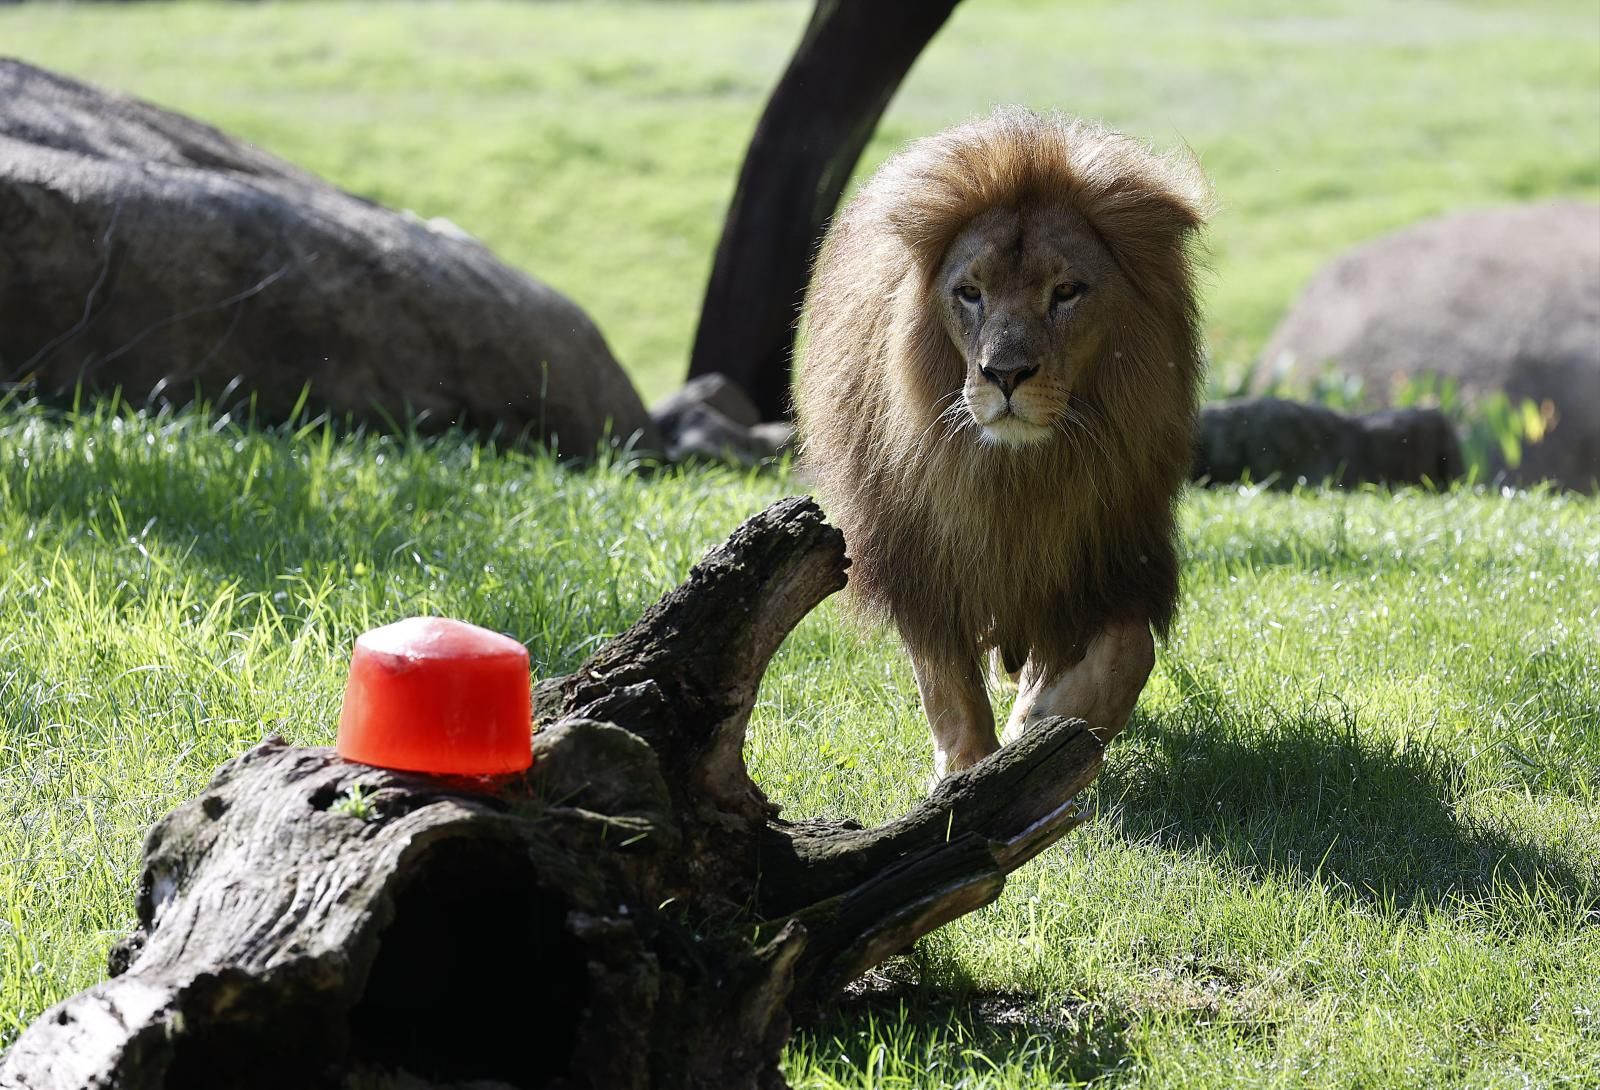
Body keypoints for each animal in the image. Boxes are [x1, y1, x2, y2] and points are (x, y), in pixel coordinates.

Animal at [793, 108, 1203, 774]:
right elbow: (947, 683)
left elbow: (1129, 651)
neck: (1017, 475)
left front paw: (1040, 728)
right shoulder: (918, 559)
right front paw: (970, 770)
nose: (1005, 375)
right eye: (969, 293)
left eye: (1066, 292)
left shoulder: (1111, 553)